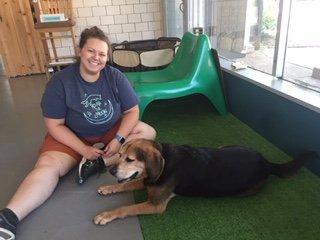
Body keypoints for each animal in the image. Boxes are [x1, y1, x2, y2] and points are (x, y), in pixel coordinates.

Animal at [93, 138, 318, 224]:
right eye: (119, 155)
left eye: (130, 159)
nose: (111, 170)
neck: (165, 160)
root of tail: (266, 162)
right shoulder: (148, 180)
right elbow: (128, 184)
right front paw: (108, 187)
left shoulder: (155, 204)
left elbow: (125, 208)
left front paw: (106, 215)